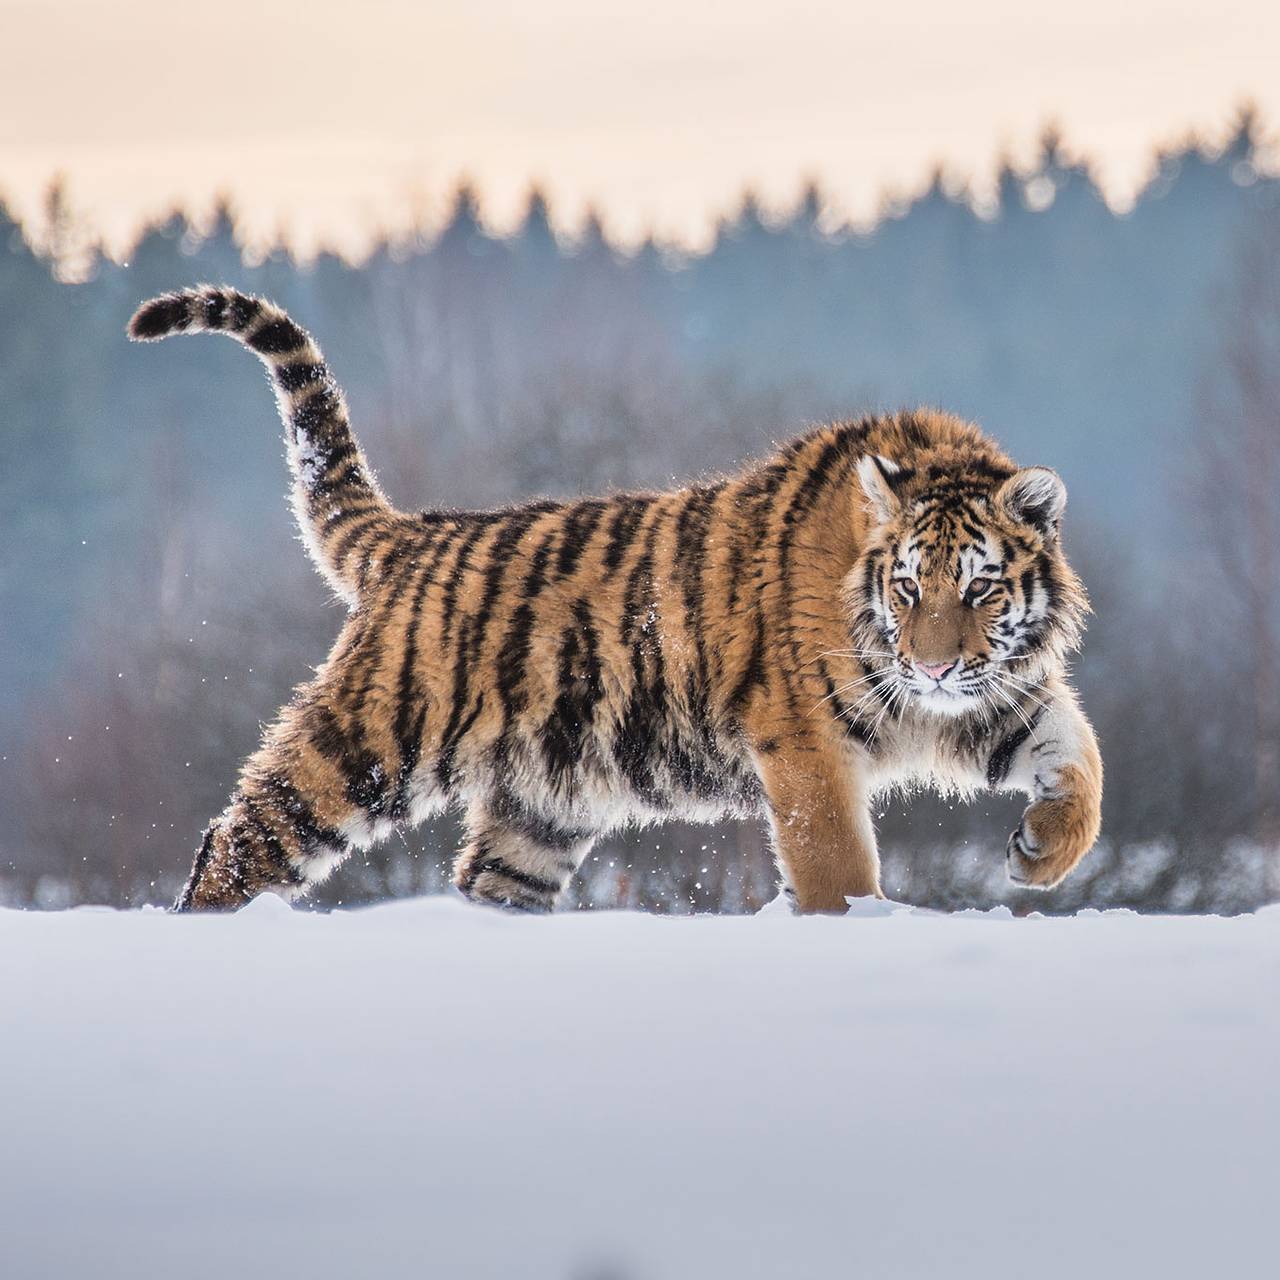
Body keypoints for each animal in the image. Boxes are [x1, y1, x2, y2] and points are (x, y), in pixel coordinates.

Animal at [129, 285, 1100, 916]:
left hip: (541, 810)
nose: (930, 667)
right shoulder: (806, 740)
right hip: (360, 748)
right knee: (236, 843)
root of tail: (410, 536)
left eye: (979, 588)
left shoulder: (994, 694)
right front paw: (857, 928)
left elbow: (1079, 759)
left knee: (484, 882)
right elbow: (837, 864)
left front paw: (1041, 854)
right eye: (907, 587)